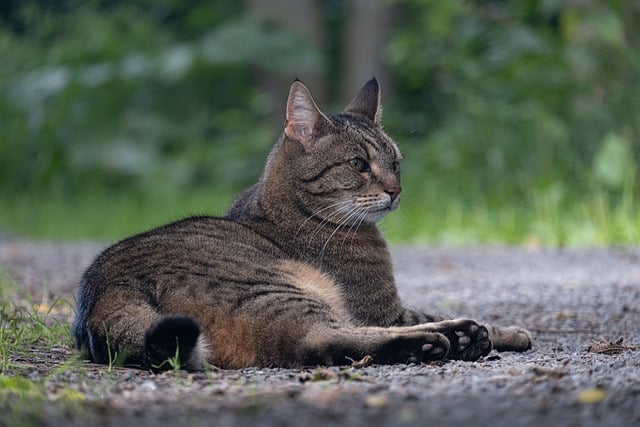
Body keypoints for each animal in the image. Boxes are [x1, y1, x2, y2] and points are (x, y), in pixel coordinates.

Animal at [72, 79, 528, 372]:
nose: (396, 190)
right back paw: (444, 339)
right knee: (322, 341)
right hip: (285, 289)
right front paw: (502, 330)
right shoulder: (384, 308)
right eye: (358, 165)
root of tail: (102, 291)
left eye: (396, 163)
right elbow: (430, 312)